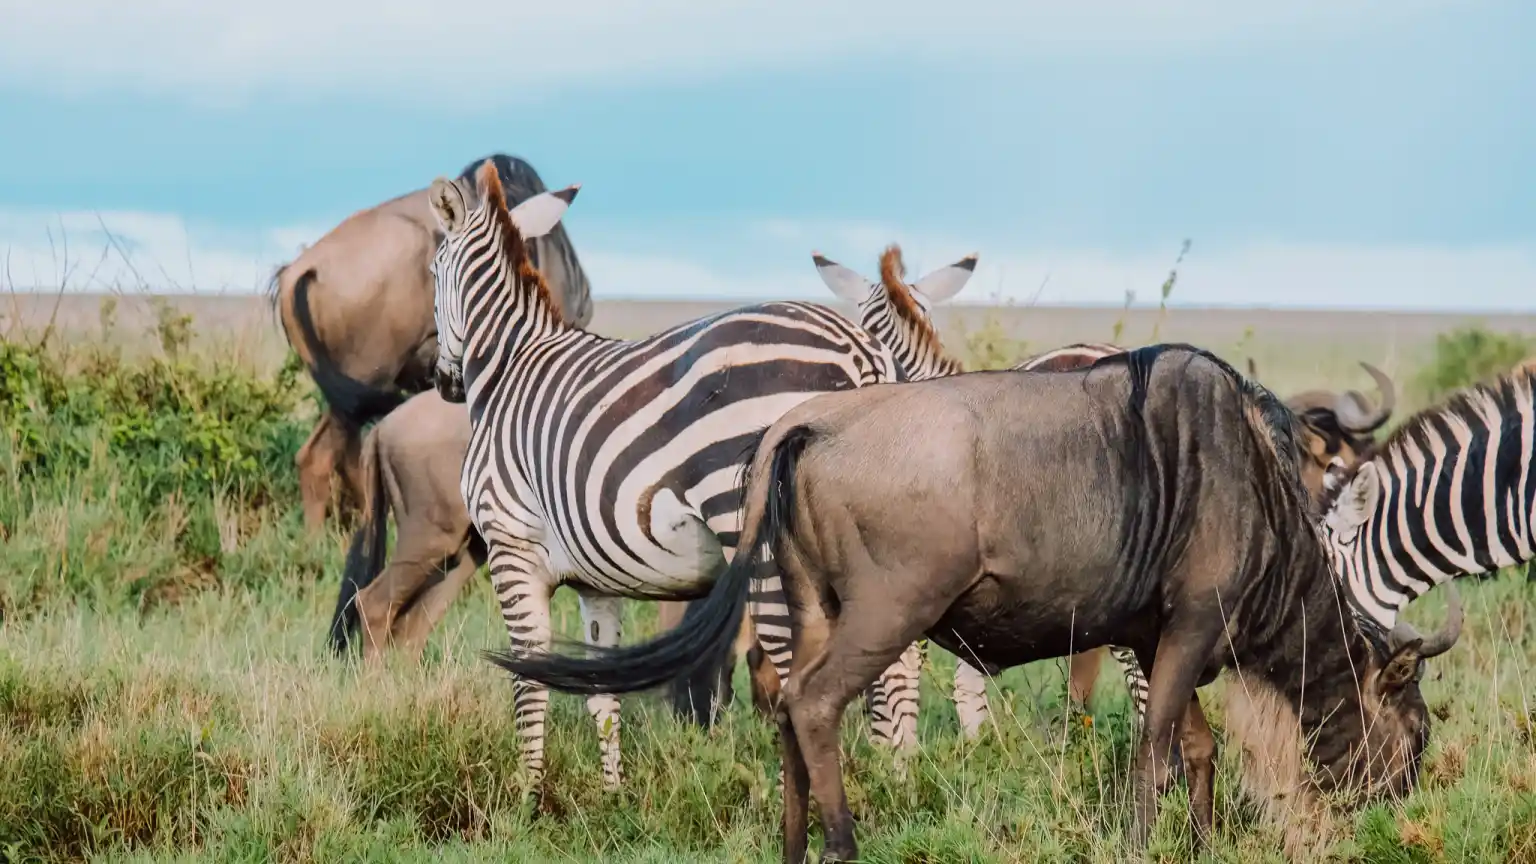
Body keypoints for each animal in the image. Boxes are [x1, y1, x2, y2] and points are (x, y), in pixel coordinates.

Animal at [425, 159, 917, 789]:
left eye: (432, 271)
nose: (445, 383)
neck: (508, 365)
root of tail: (860, 350)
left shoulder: (512, 546)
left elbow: (528, 680)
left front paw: (528, 794)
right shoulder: (596, 580)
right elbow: (600, 687)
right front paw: (611, 793)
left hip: (761, 536)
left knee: (804, 670)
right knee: (898, 658)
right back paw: (898, 776)